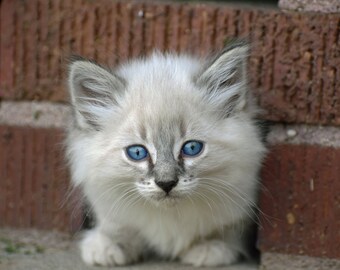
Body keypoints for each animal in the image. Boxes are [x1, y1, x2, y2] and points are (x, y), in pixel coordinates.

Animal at [65, 42, 266, 268]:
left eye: (192, 148)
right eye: (137, 152)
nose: (166, 183)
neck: (169, 214)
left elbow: (229, 230)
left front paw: (210, 247)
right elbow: (117, 226)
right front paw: (108, 246)